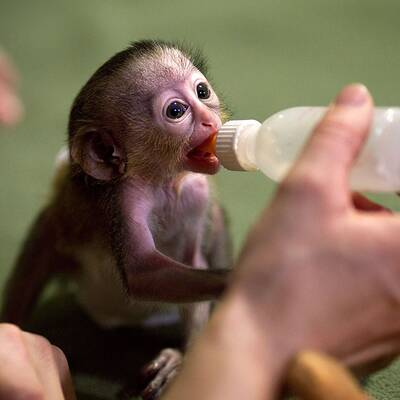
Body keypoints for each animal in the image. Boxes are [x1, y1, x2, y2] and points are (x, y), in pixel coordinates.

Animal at [1, 39, 231, 398]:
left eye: (202, 91)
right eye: (176, 111)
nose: (210, 120)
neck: (163, 182)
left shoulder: (197, 194)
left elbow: (193, 258)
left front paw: (184, 359)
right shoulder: (122, 200)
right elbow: (140, 273)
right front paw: (236, 279)